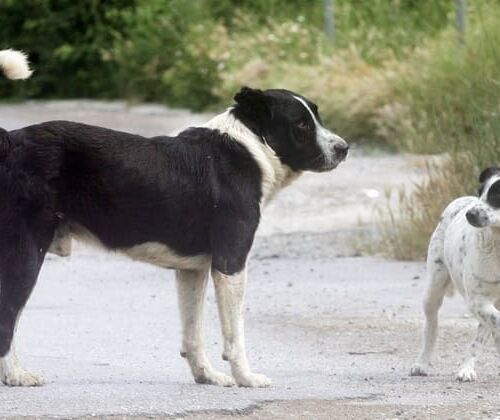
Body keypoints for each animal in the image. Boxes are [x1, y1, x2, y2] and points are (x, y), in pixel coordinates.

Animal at [0, 49, 348, 388]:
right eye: (301, 125)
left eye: (316, 116)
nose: (344, 148)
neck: (249, 146)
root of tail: (10, 141)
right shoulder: (231, 263)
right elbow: (234, 335)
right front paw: (246, 378)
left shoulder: (192, 270)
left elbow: (193, 333)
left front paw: (206, 376)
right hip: (26, 254)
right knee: (7, 317)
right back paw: (16, 375)